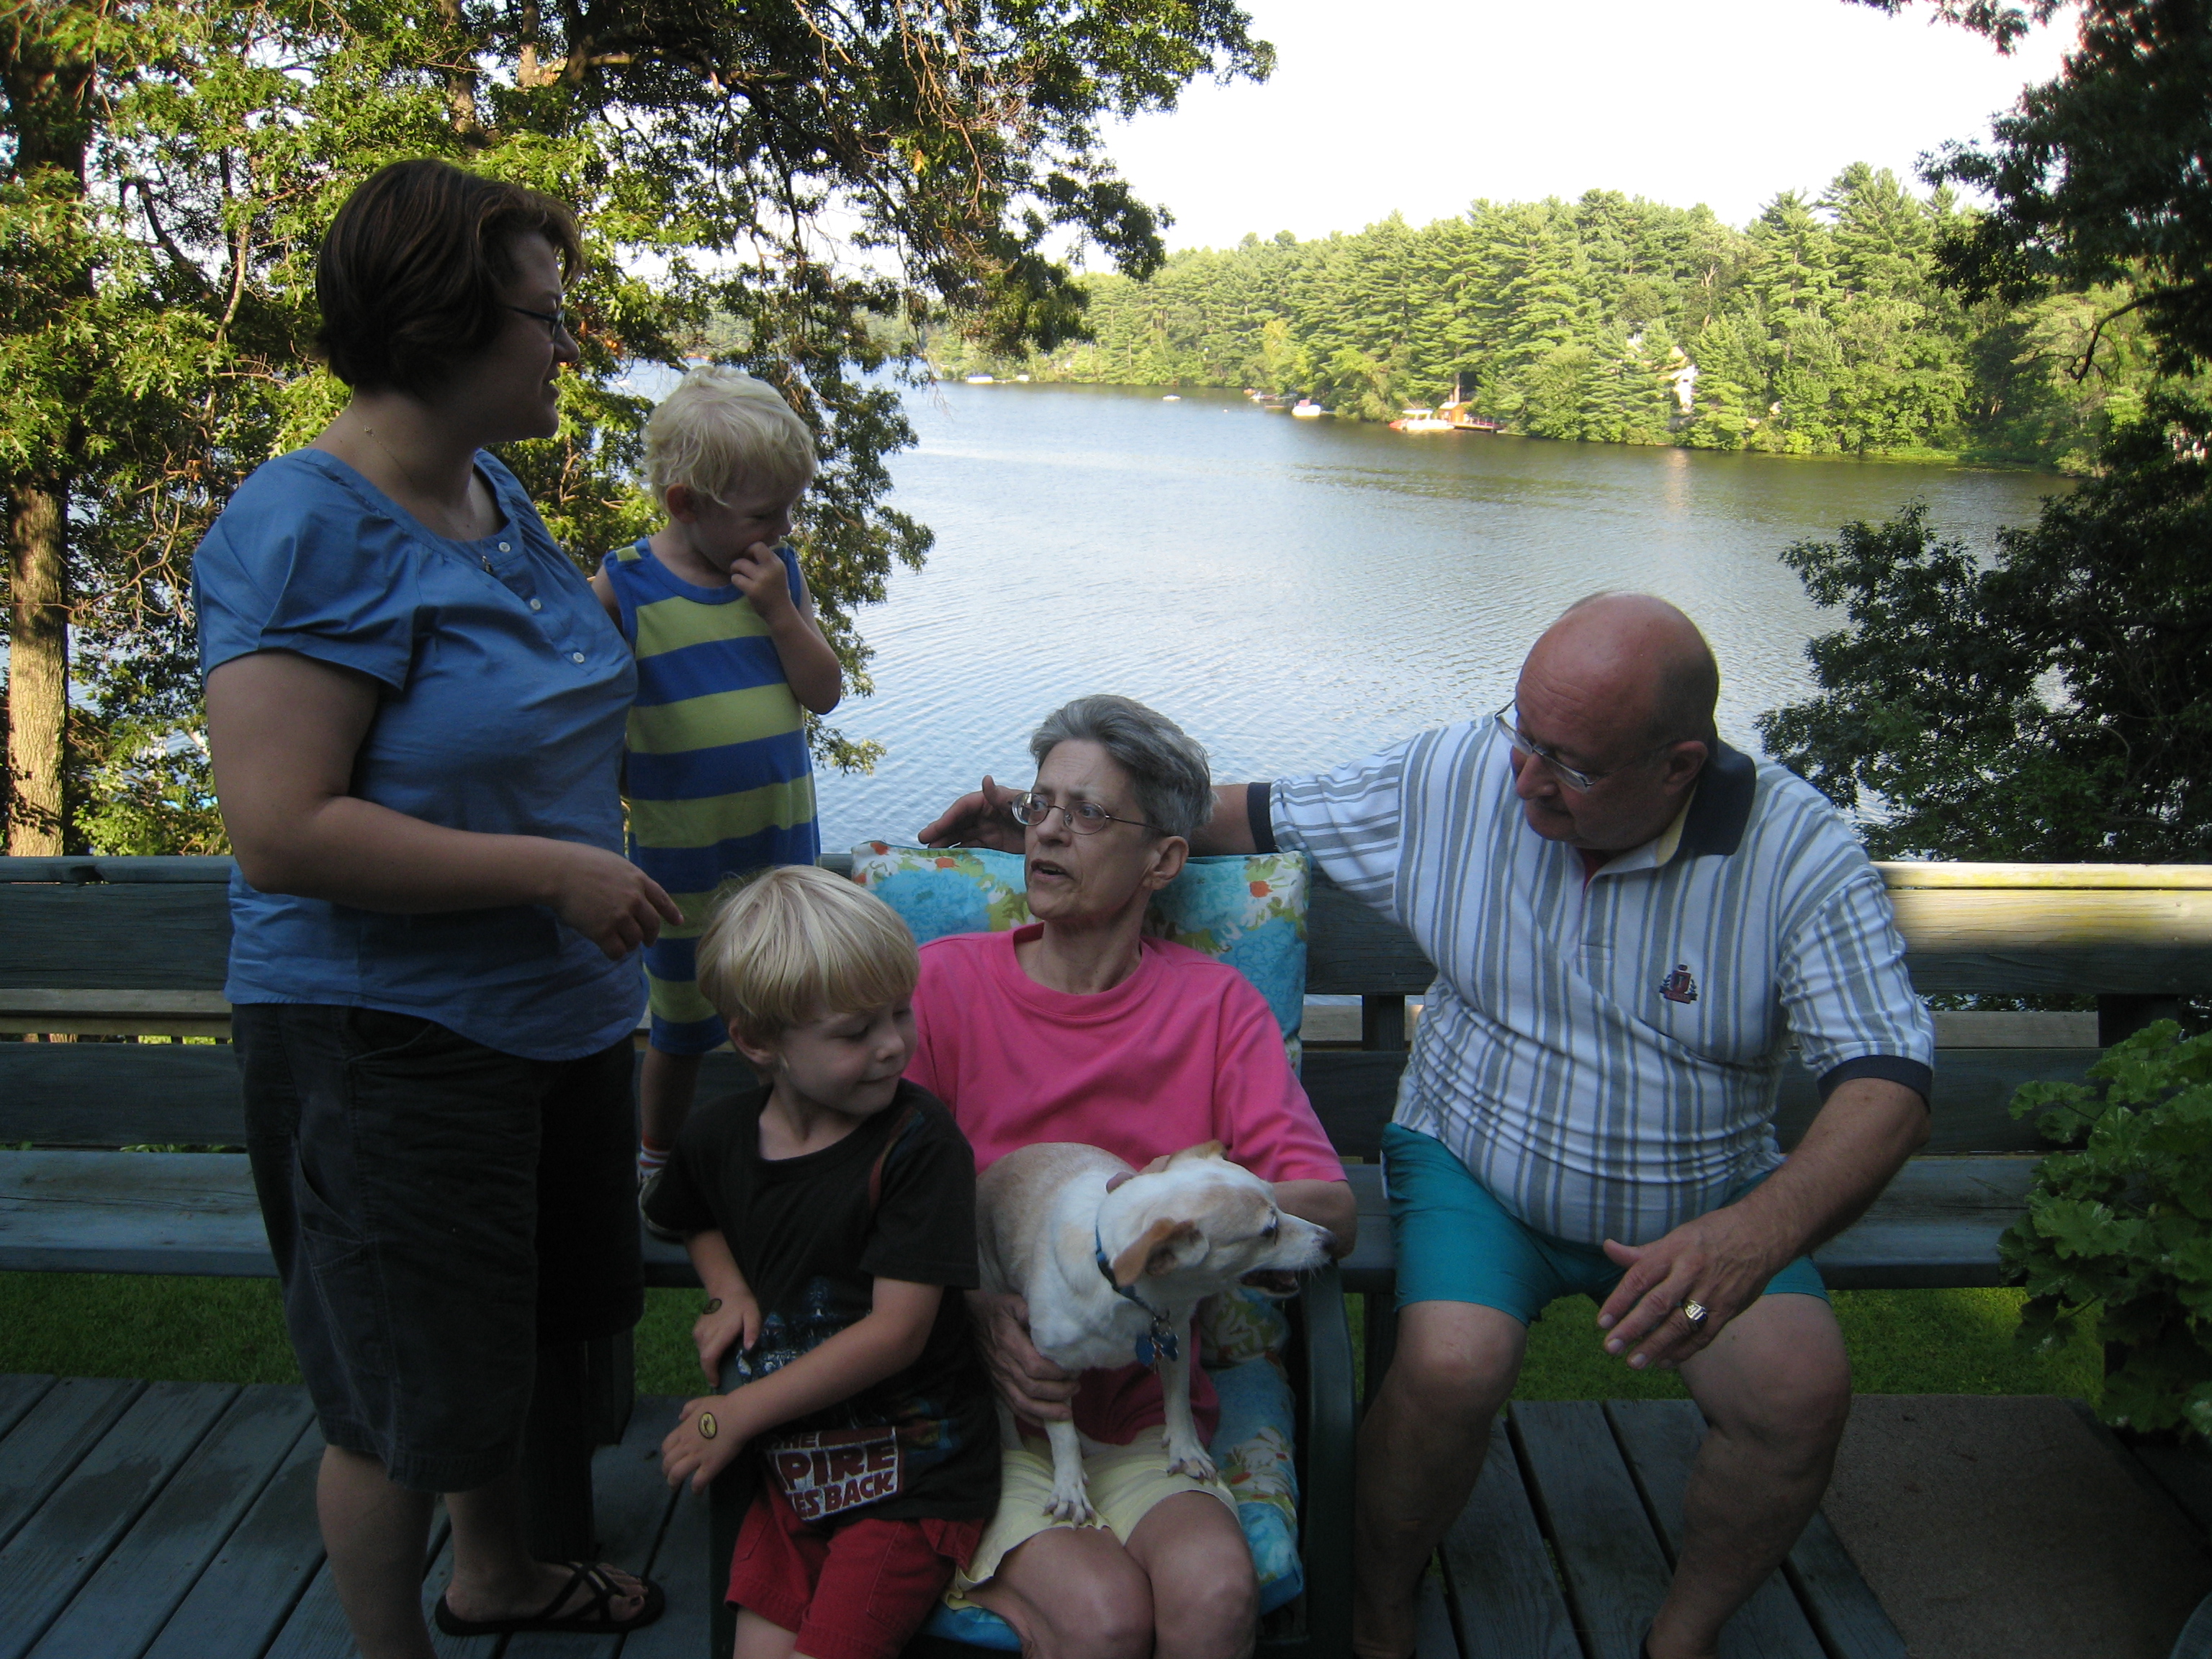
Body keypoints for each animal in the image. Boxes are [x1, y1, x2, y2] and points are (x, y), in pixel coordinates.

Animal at [975, 1139, 1336, 1523]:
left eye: (1279, 1203)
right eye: (1269, 1231)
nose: (1331, 1240)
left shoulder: (1174, 1338)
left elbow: (1178, 1400)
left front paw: (1186, 1450)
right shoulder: (1047, 1366)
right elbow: (1062, 1435)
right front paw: (1069, 1487)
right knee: (1006, 1408)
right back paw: (1018, 1447)